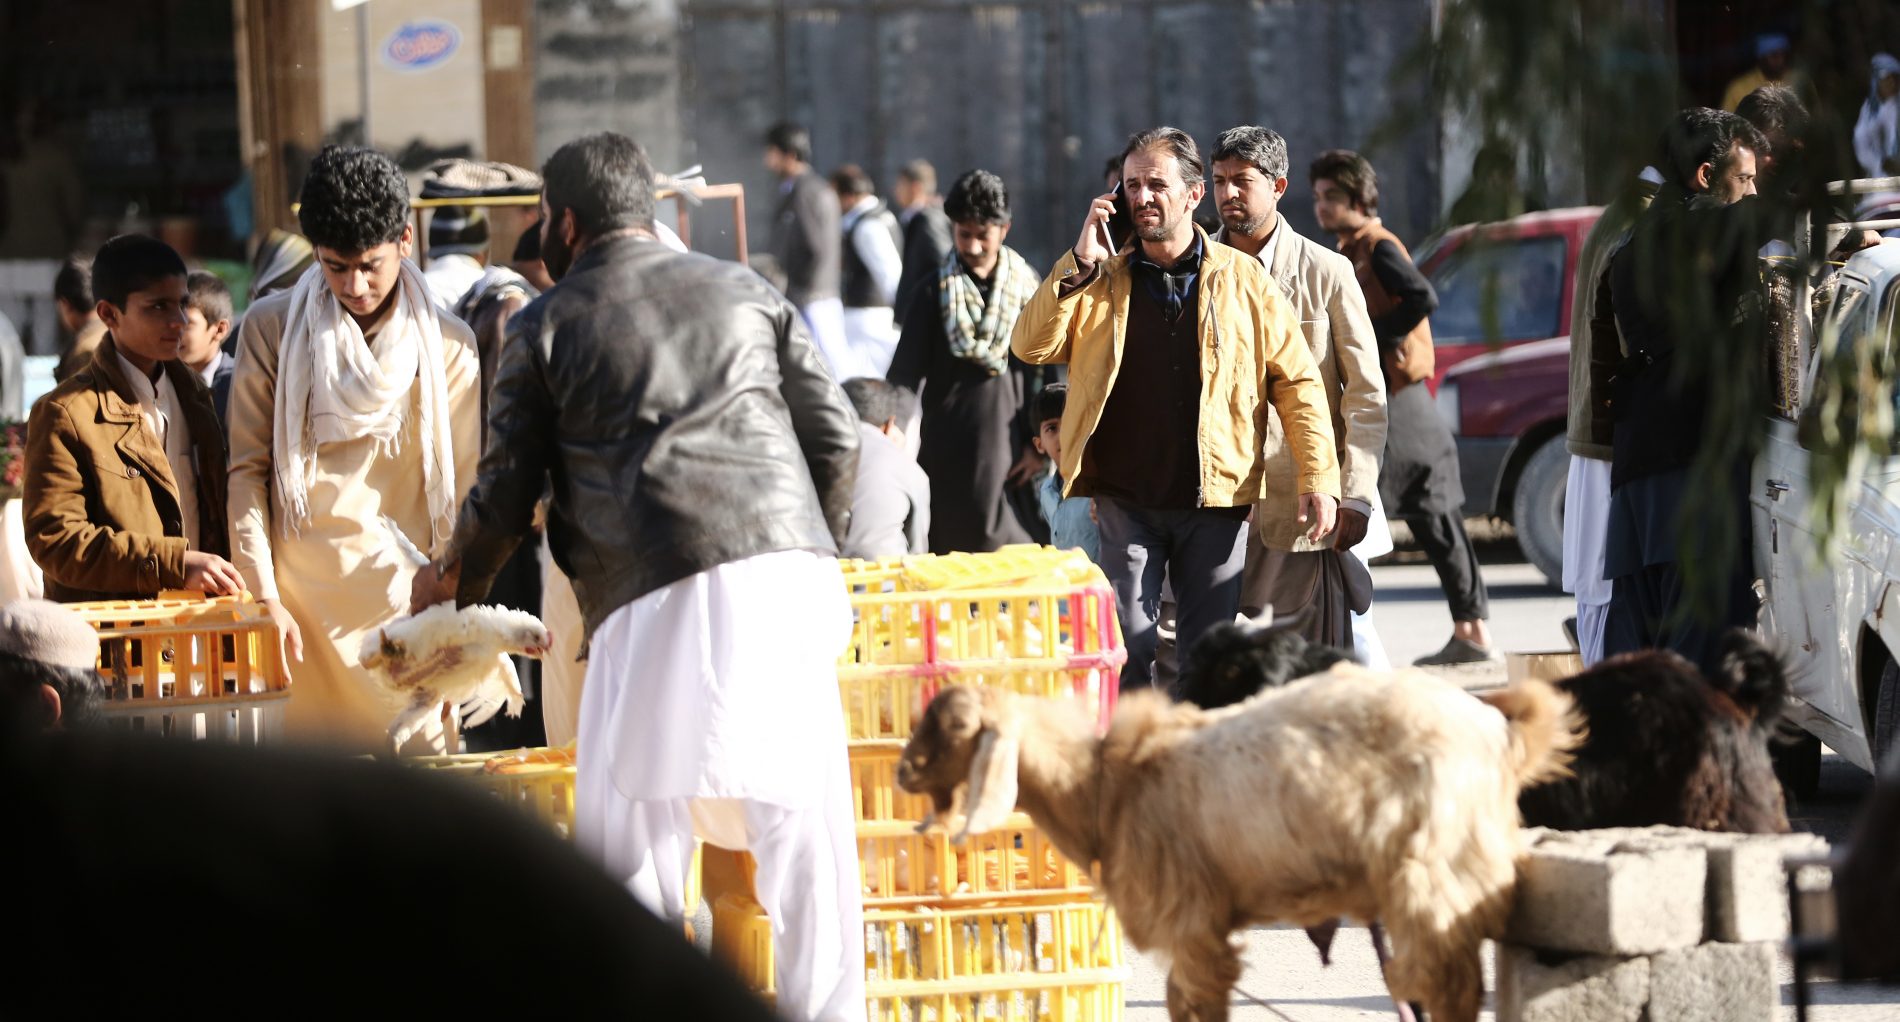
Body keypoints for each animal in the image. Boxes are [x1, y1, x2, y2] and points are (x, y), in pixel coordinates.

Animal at [896, 661, 1580, 1018]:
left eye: (956, 728)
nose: (903, 772)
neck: (1102, 790)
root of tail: (1502, 732)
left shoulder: (1193, 920)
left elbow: (1196, 999)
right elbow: (1179, 1000)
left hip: (1434, 873)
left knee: (1449, 985)